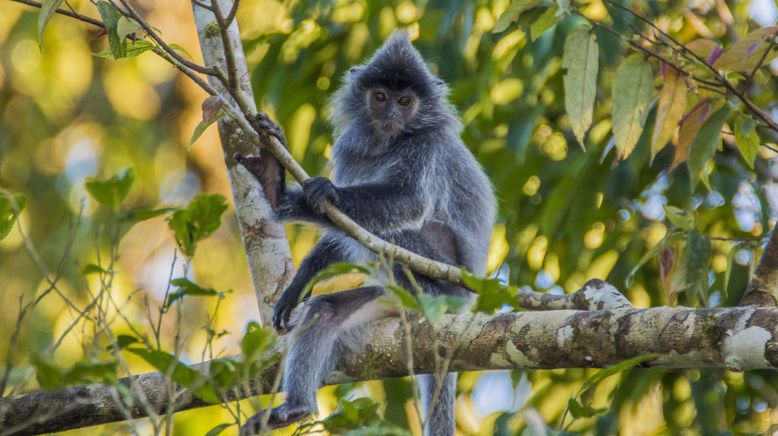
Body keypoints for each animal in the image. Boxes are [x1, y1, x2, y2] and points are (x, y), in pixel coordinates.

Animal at [236, 32, 494, 434]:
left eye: (405, 102)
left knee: (395, 234)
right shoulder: (349, 150)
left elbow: (408, 202)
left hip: (446, 284)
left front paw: (327, 192)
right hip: (386, 300)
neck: (390, 143)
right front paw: (300, 282)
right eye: (381, 97)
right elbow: (341, 237)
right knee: (324, 311)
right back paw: (296, 408)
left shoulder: (427, 146)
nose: (391, 115)